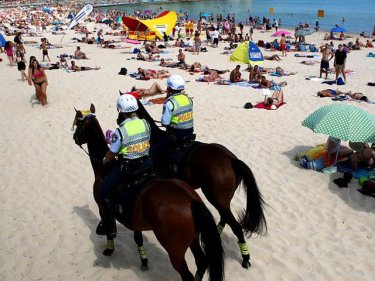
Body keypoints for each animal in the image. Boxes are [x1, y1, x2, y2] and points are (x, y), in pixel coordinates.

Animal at [73, 105, 225, 280]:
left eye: (78, 124)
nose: (74, 137)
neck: (105, 168)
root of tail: (191, 200)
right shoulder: (134, 219)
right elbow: (138, 238)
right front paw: (143, 260)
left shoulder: (101, 206)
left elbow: (110, 231)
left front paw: (109, 249)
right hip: (193, 240)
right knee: (202, 263)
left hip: (176, 252)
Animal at [137, 98, 268, 266]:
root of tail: (231, 159)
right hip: (223, 200)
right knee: (225, 218)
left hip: (216, 198)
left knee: (235, 226)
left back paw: (245, 258)